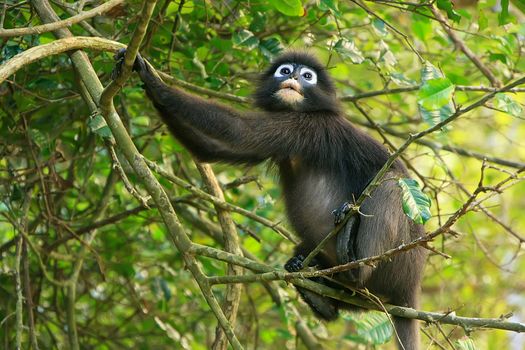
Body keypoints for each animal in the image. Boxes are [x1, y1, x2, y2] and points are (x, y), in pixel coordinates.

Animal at [113, 49, 426, 350]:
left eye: (307, 76)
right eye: (285, 71)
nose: (294, 78)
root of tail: (410, 292)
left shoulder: (307, 125)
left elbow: (239, 131)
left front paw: (155, 83)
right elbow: (213, 148)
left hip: (400, 261)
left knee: (391, 185)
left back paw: (355, 264)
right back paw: (317, 292)